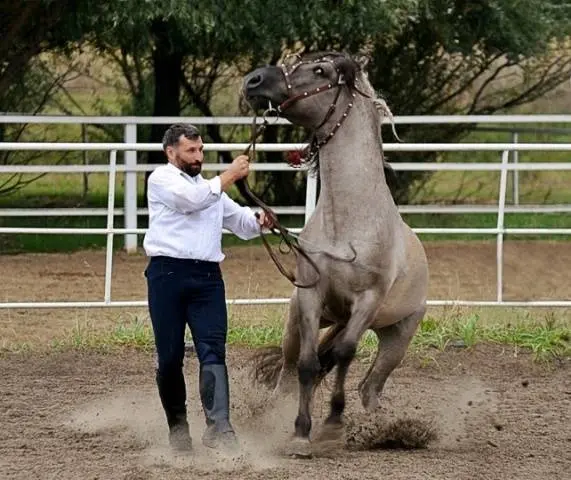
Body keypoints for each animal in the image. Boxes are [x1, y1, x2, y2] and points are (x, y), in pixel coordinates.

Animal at [241, 52, 428, 458]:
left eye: (320, 71)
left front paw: (332, 423)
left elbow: (343, 355)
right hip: (300, 319)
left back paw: (380, 428)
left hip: (396, 337)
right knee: (288, 369)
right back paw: (270, 415)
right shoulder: (311, 296)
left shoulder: (368, 301)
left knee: (370, 386)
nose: (253, 80)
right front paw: (300, 433)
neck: (348, 223)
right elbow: (308, 365)